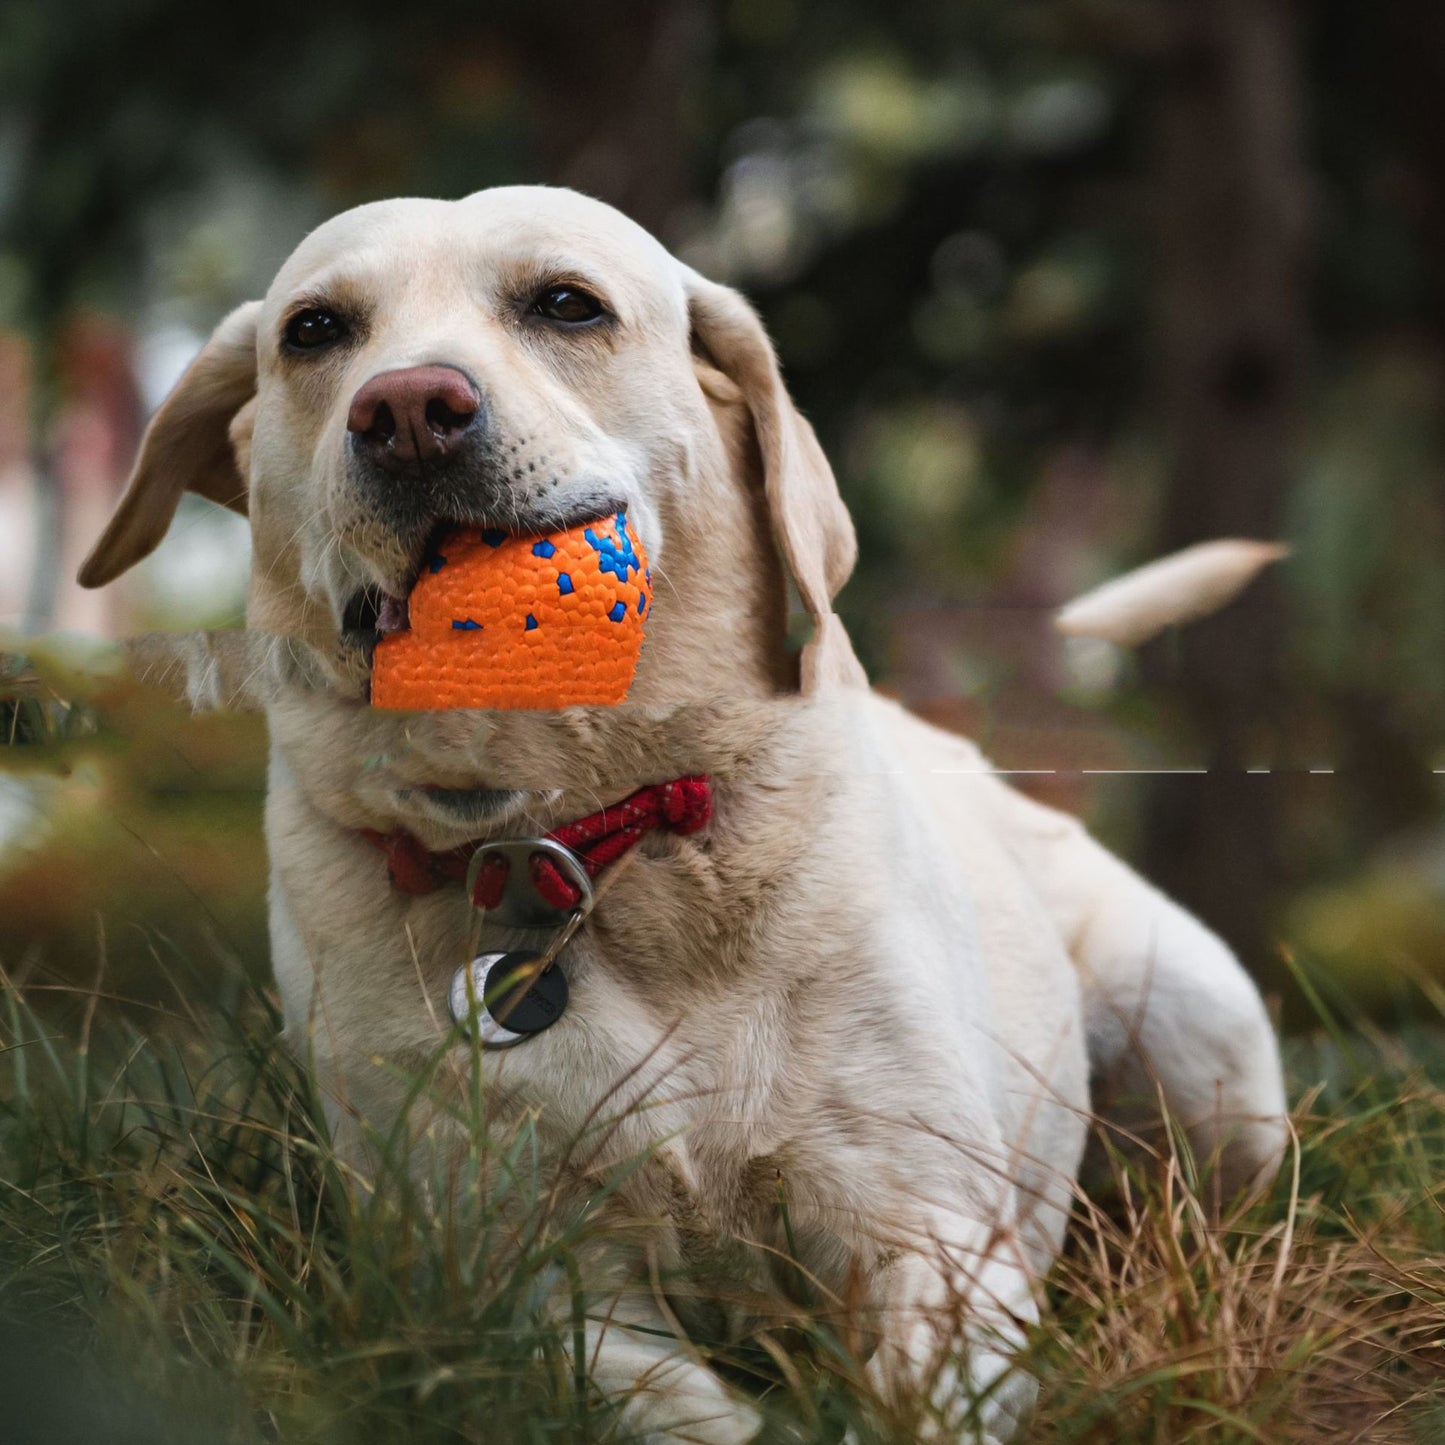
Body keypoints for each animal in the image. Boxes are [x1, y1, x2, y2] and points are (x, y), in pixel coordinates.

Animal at [76, 186, 1288, 1439]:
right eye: (315, 331)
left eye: (567, 304)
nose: (406, 410)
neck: (574, 842)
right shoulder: (523, 1290)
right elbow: (680, 1404)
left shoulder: (934, 1233)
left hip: (1204, 1050)